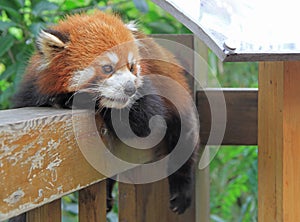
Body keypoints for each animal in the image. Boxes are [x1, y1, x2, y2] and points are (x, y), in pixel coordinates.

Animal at [12, 11, 199, 214]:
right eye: (107, 68)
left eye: (131, 67)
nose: (130, 89)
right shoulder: (29, 92)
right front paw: (60, 99)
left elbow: (147, 120)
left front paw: (73, 98)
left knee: (185, 140)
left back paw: (182, 189)